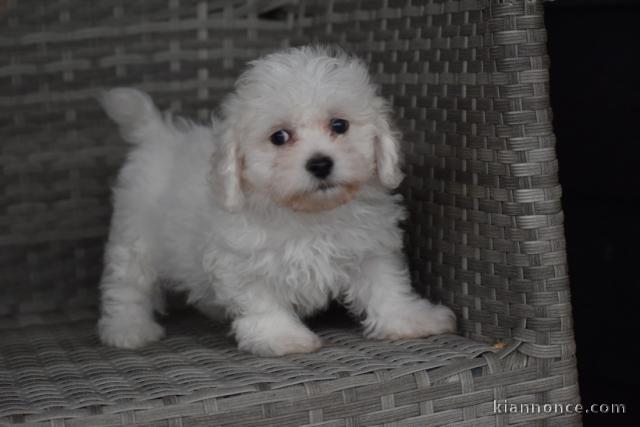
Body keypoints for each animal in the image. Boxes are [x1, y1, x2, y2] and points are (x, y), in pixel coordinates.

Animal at [97, 45, 456, 356]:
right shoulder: (241, 260)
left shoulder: (370, 247)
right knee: (127, 286)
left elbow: (386, 286)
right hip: (134, 239)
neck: (308, 215)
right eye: (279, 137)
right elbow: (261, 300)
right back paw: (128, 329)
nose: (320, 163)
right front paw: (282, 337)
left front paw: (410, 320)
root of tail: (157, 135)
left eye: (339, 125)